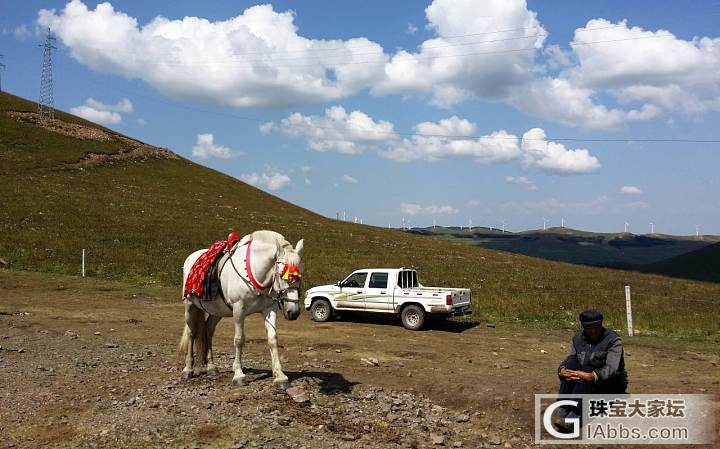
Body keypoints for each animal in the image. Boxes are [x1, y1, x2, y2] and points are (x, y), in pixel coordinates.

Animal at [181, 231, 306, 388]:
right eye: (283, 275)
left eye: (301, 275)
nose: (293, 312)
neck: (254, 273)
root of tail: (191, 258)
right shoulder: (239, 309)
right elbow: (239, 340)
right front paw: (239, 375)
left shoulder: (269, 309)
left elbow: (272, 339)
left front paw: (280, 377)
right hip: (189, 306)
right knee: (191, 334)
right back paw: (188, 369)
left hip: (217, 311)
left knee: (208, 330)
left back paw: (211, 367)